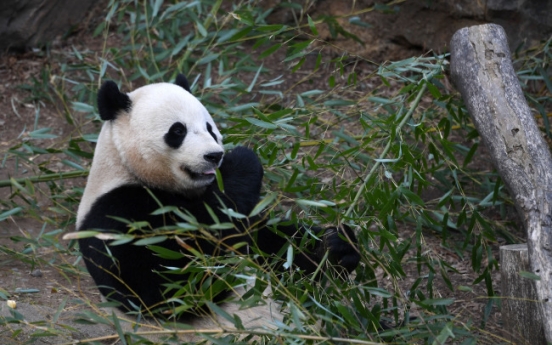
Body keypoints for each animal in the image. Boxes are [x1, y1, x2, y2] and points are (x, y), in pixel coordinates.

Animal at [76, 72, 362, 338]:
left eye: (209, 127)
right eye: (177, 131)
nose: (214, 155)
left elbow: (275, 247)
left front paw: (335, 245)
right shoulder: (118, 216)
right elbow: (174, 286)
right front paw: (243, 161)